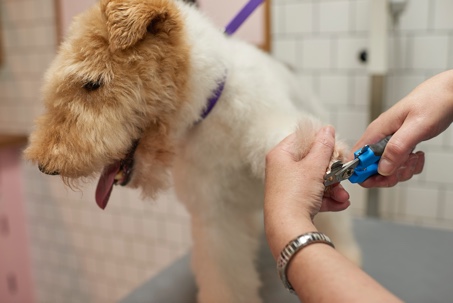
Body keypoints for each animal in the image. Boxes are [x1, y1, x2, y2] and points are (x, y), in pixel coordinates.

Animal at [25, 1, 360, 302]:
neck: (207, 109)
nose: (45, 165)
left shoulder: (265, 119)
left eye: (92, 83)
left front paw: (312, 148)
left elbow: (283, 134)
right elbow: (225, 277)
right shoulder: (215, 219)